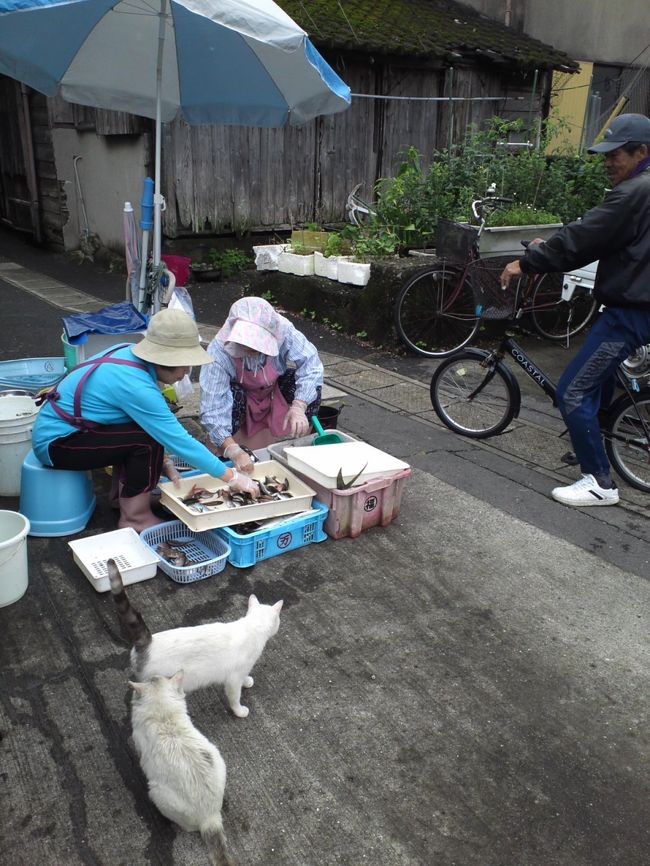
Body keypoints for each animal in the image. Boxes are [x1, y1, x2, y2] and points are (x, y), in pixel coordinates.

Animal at [107, 560, 282, 716]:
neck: (252, 626)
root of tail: (148, 642)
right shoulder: (233, 679)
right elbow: (234, 698)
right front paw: (239, 711)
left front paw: (247, 681)